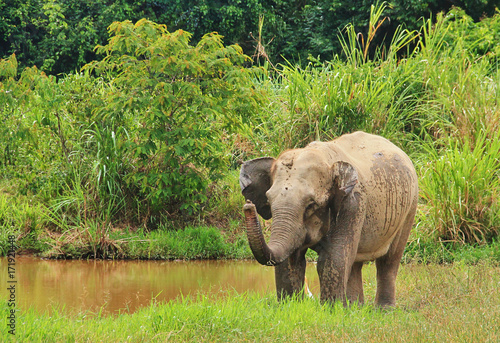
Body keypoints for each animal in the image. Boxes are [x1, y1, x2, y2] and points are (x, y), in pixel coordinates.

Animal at [238, 132, 418, 310]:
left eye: (311, 204)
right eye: (268, 200)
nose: (248, 205)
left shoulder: (353, 203)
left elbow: (333, 256)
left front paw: (331, 310)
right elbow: (291, 259)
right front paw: (290, 307)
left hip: (409, 209)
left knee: (389, 260)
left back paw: (383, 310)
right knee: (355, 261)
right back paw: (355, 308)